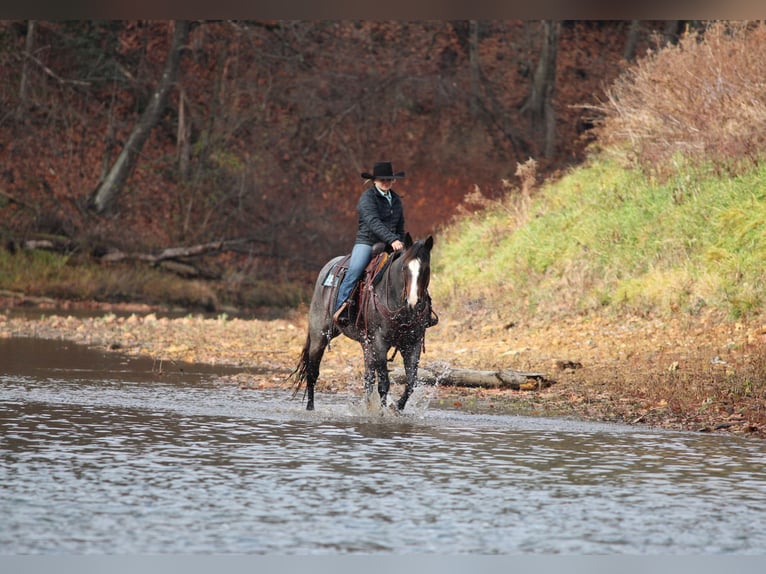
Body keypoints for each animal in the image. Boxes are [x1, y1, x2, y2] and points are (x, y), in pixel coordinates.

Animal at [291, 233, 435, 411]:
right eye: (404, 268)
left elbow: (410, 383)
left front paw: (397, 408)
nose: (414, 302)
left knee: (368, 378)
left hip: (366, 343)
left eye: (426, 269)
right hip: (319, 335)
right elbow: (384, 383)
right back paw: (310, 407)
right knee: (312, 371)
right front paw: (382, 413)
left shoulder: (412, 343)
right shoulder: (380, 343)